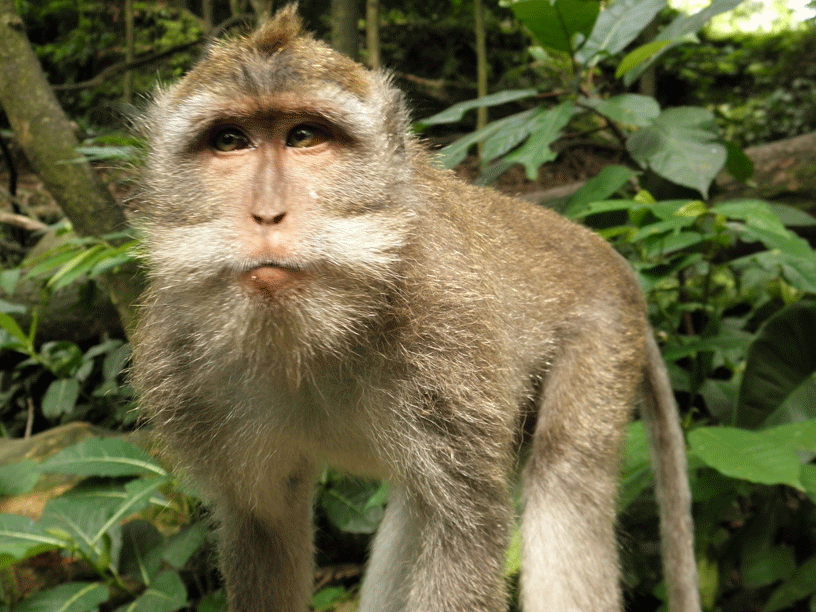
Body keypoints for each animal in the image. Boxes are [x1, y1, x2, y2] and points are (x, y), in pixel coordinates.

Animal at [132, 5, 700, 612]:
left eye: (304, 136)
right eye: (230, 141)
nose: (267, 214)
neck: (310, 334)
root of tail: (603, 252)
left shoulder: (447, 330)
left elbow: (466, 525)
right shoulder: (181, 364)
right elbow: (263, 524)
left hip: (604, 336)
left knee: (565, 478)